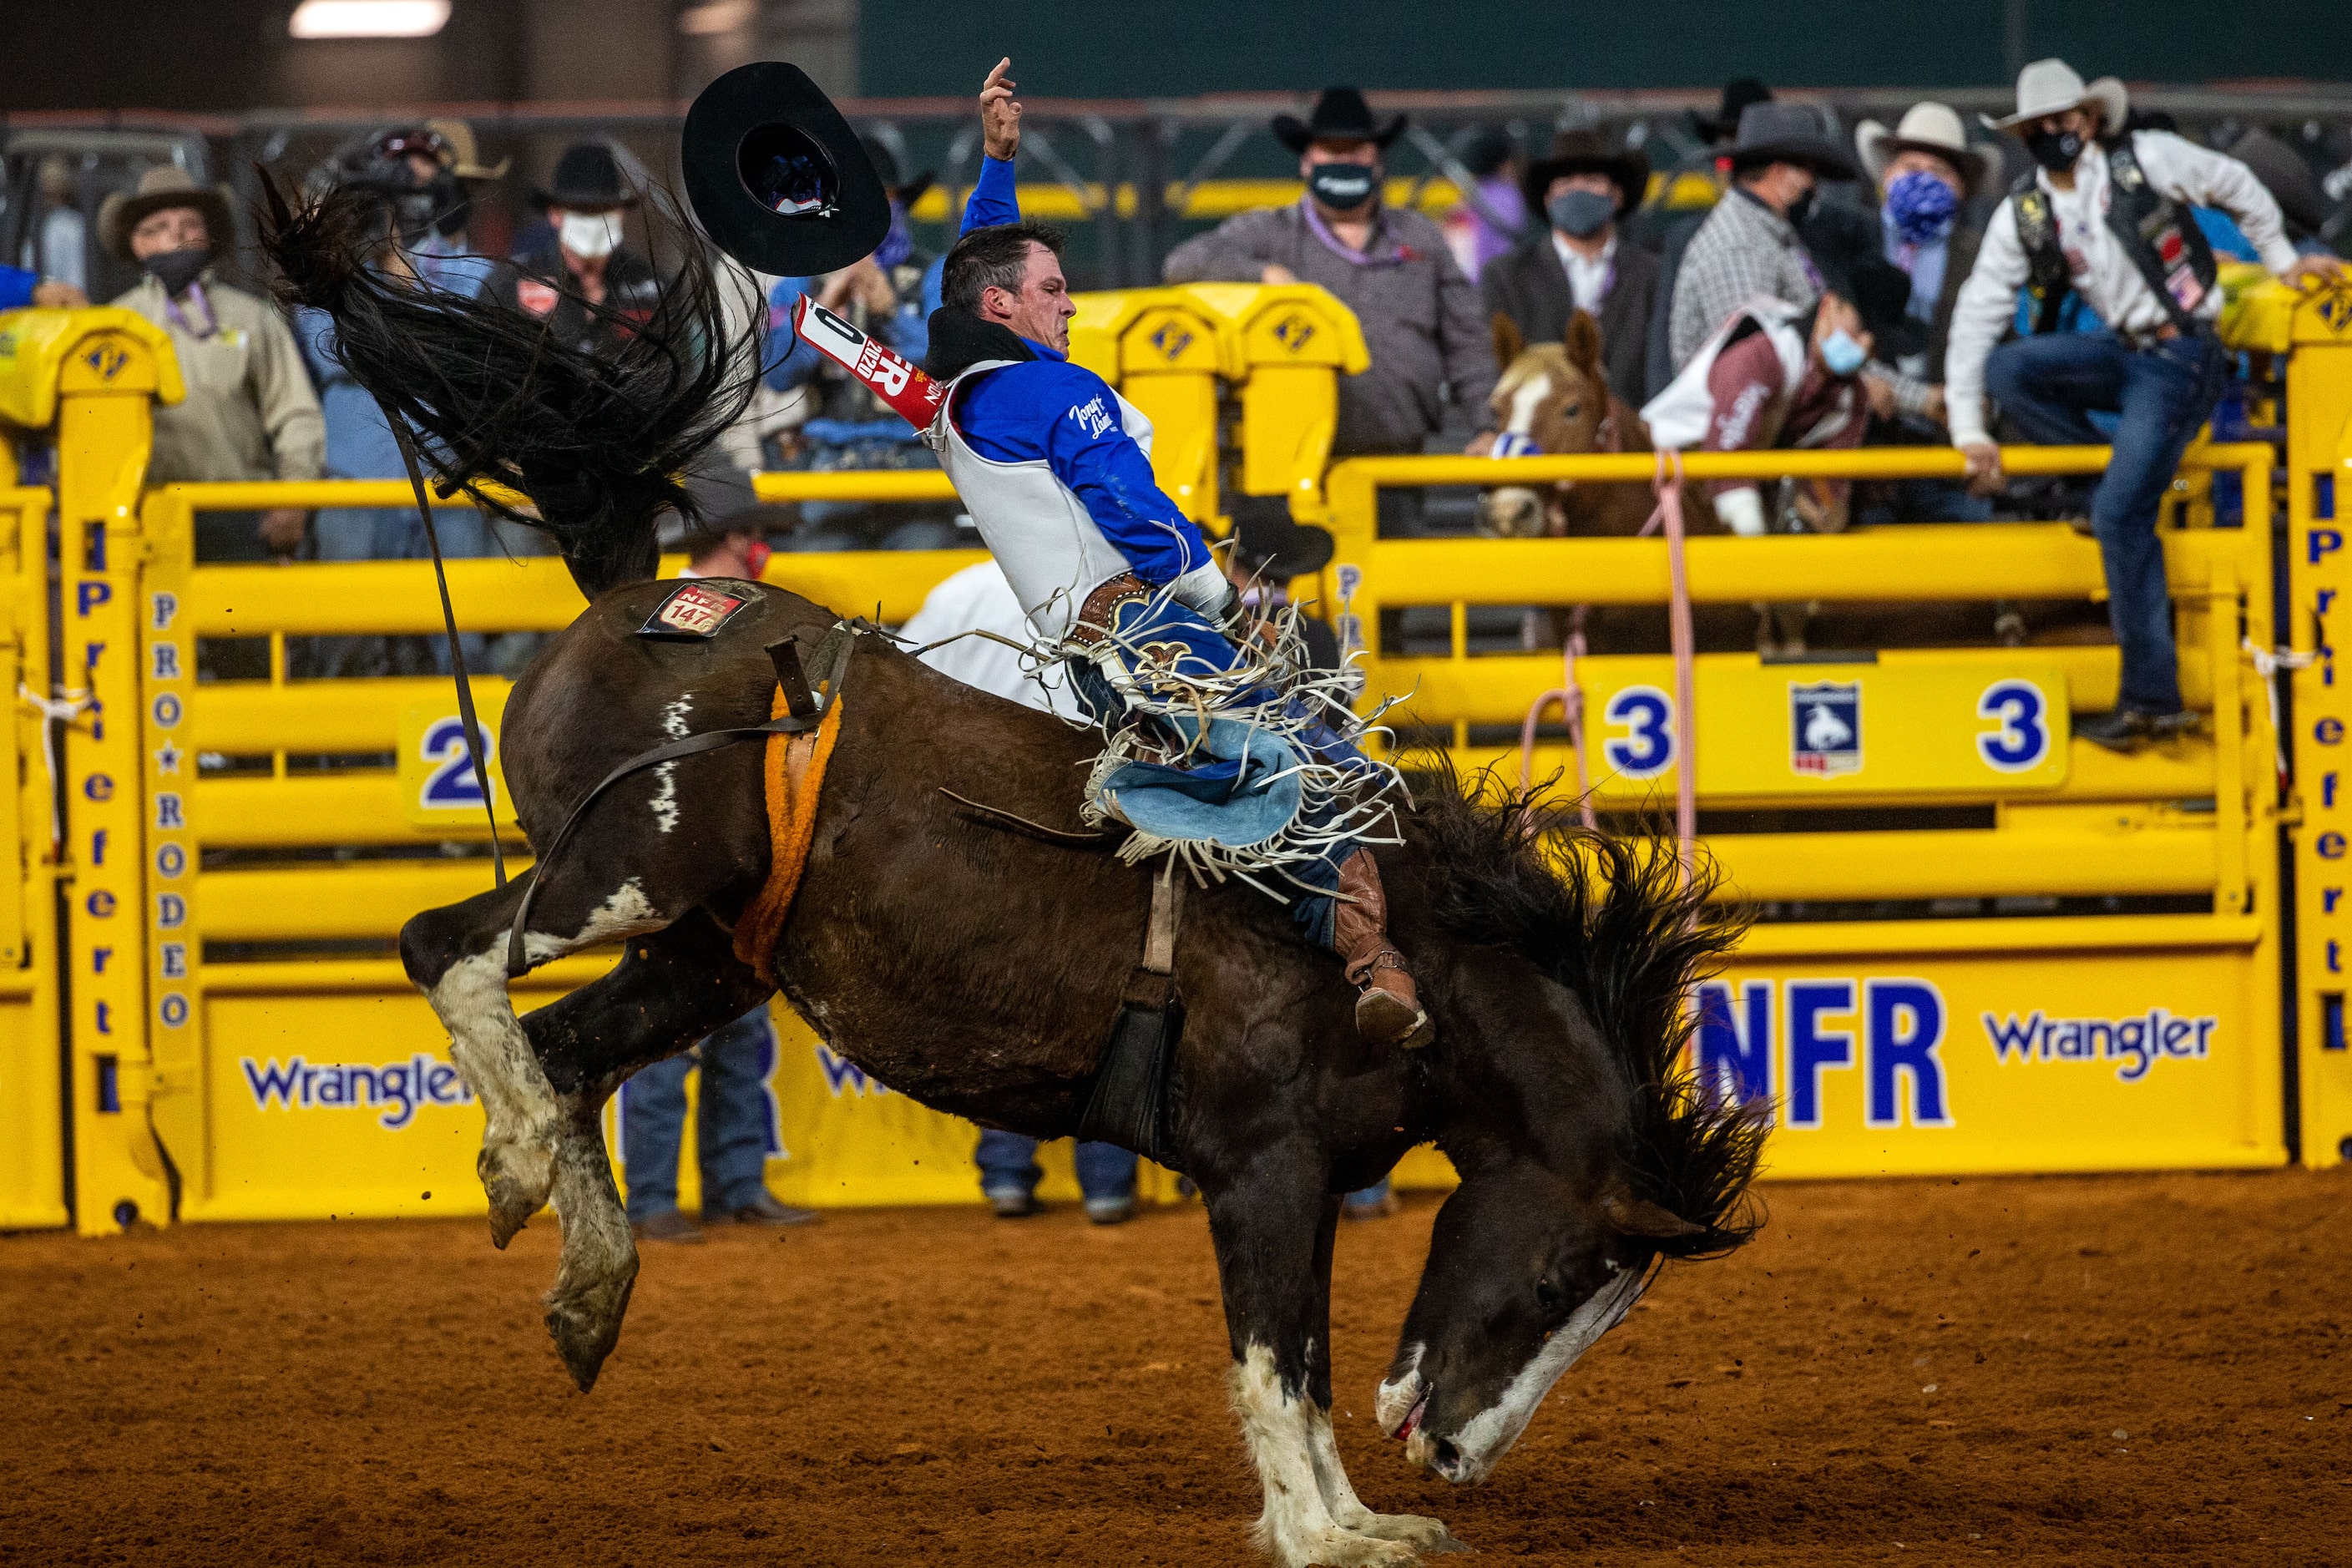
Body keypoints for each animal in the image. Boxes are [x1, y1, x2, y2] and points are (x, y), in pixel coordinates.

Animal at [262, 165, 1768, 1560]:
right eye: (1559, 1277)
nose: (1456, 1450)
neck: (1427, 959)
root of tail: (644, 598)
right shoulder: (1262, 1167)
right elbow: (1274, 1363)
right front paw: (1321, 1529)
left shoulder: (1305, 1186)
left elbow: (1309, 1356)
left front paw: (1366, 1518)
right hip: (621, 867)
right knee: (450, 948)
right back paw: (518, 1161)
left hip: (704, 956)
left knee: (569, 1050)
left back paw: (585, 1282)